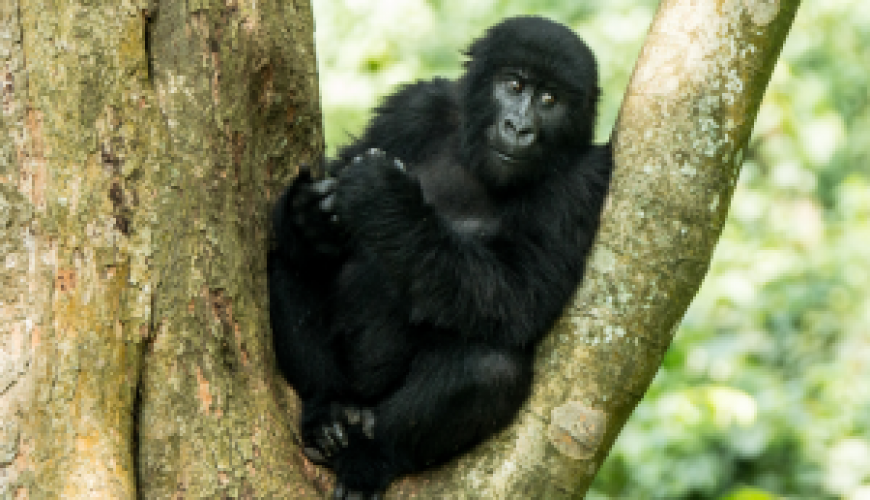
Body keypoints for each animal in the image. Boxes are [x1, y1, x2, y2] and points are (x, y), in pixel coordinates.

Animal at [270, 16, 616, 500]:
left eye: (550, 99)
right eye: (513, 84)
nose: (519, 127)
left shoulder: (584, 178)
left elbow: (521, 294)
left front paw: (386, 199)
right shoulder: (415, 107)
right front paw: (309, 216)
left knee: (491, 368)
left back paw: (371, 459)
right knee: (288, 264)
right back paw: (326, 412)